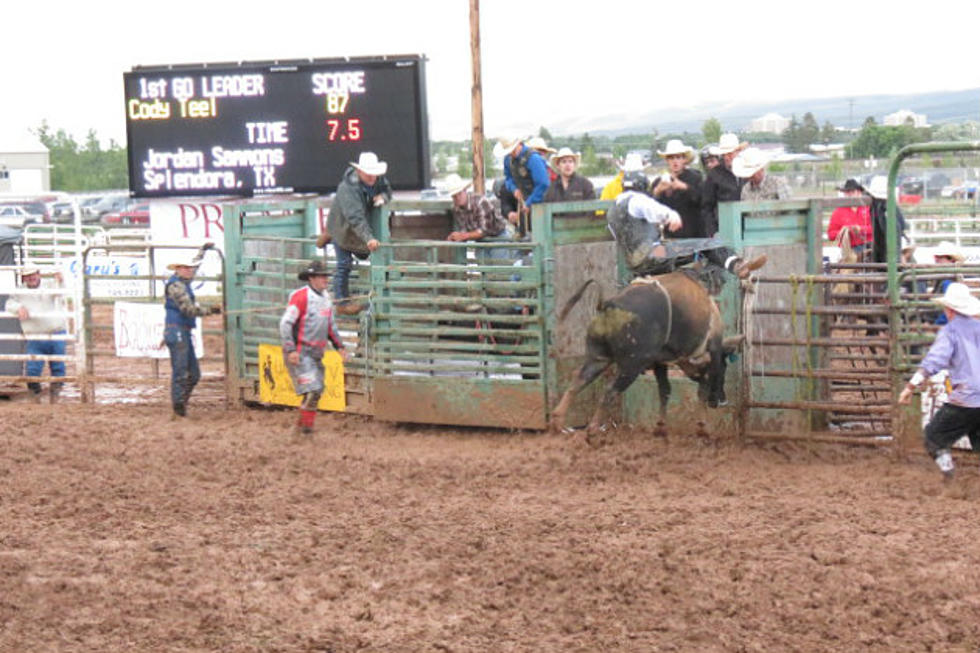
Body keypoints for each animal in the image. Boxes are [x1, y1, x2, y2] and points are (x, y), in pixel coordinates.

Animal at [552, 268, 744, 436]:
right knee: (610, 391)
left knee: (577, 382)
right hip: (631, 366)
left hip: (598, 358)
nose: (722, 401)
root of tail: (608, 305)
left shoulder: (660, 362)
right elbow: (703, 388)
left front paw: (660, 427)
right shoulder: (712, 353)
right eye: (725, 366)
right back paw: (592, 431)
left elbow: (665, 390)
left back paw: (559, 421)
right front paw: (703, 428)